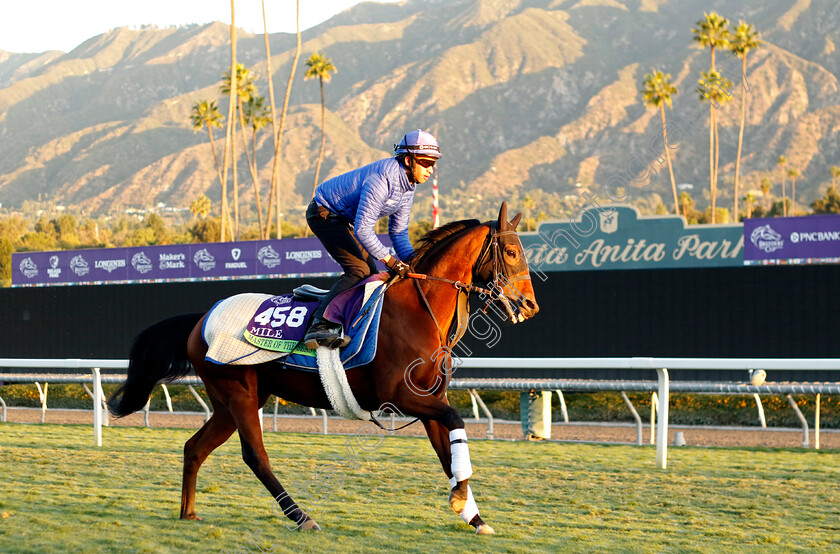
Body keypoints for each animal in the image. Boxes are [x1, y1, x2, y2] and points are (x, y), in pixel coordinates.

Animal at [108, 201, 540, 532]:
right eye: (512, 252)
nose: (531, 305)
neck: (418, 310)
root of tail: (201, 320)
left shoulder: (431, 399)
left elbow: (448, 449)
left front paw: (473, 514)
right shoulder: (399, 396)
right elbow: (456, 423)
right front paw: (461, 501)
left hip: (231, 400)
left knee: (194, 448)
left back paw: (189, 513)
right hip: (238, 392)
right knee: (255, 456)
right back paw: (301, 516)